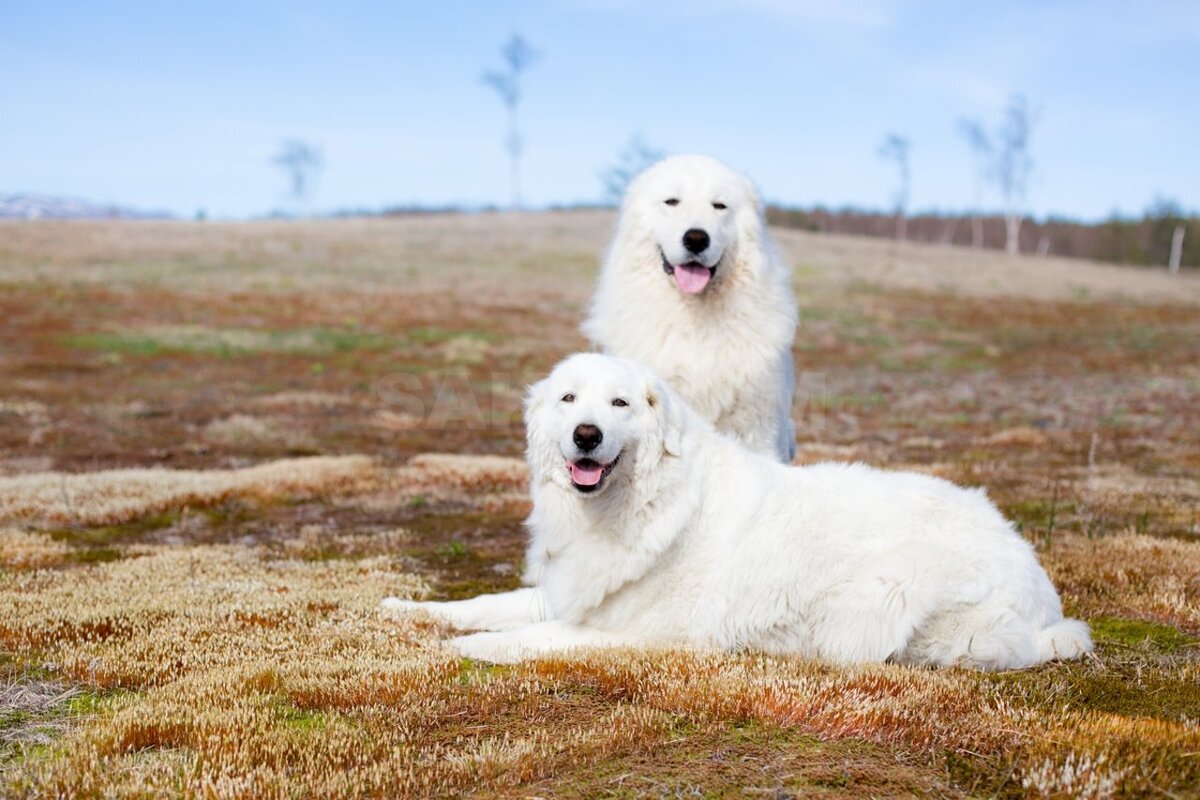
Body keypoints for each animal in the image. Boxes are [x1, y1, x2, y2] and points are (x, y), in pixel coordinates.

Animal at [381, 352, 1089, 671]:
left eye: (619, 404)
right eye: (569, 400)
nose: (585, 435)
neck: (642, 503)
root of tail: (1046, 597)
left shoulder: (647, 636)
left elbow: (536, 637)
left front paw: (471, 648)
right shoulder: (571, 592)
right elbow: (481, 604)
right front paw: (405, 611)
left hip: (885, 597)